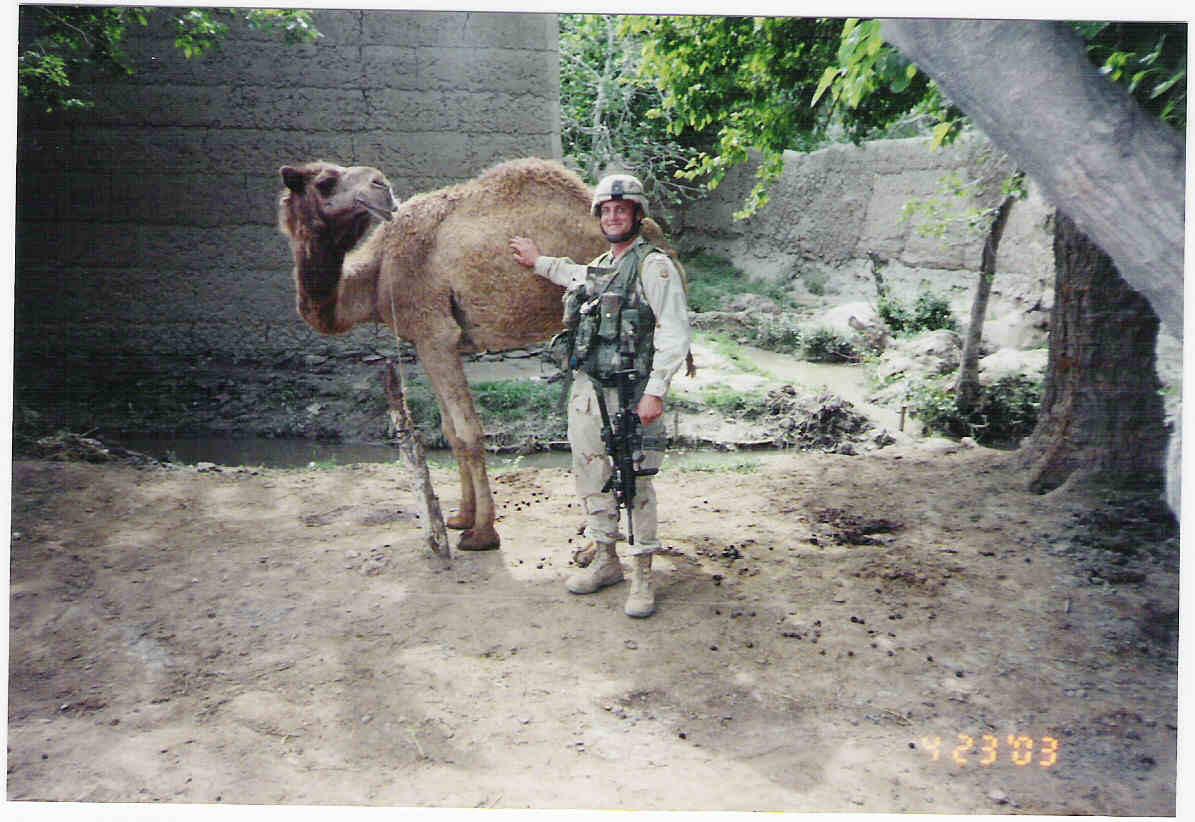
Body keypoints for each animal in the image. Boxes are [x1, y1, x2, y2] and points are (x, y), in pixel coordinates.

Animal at [277, 157, 672, 550]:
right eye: (325, 181)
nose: (381, 185)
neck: (376, 274)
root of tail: (655, 233)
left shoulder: (435, 333)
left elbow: (468, 432)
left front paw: (481, 533)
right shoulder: (428, 342)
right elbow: (450, 431)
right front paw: (460, 517)